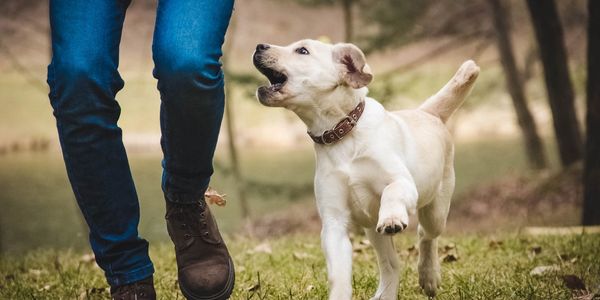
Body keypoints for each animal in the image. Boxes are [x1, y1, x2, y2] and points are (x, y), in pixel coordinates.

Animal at [252, 40, 478, 300]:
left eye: (302, 50)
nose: (259, 46)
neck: (341, 134)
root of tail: (427, 112)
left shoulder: (403, 182)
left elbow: (392, 191)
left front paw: (392, 217)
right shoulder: (334, 223)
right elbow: (339, 275)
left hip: (436, 210)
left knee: (426, 235)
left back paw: (428, 276)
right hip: (373, 232)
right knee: (391, 264)